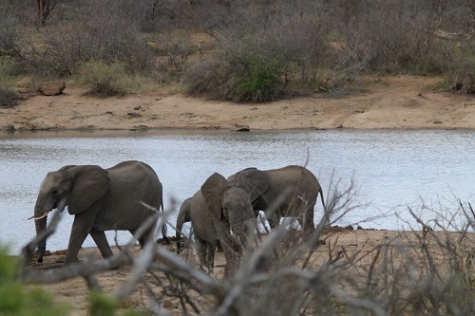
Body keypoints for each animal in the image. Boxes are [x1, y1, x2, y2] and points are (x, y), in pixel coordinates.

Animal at [29, 160, 167, 264]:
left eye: (55, 191)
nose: (39, 260)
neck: (70, 172)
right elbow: (93, 230)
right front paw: (112, 264)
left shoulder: (93, 199)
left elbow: (81, 227)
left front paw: (68, 266)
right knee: (138, 231)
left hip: (152, 199)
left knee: (147, 229)